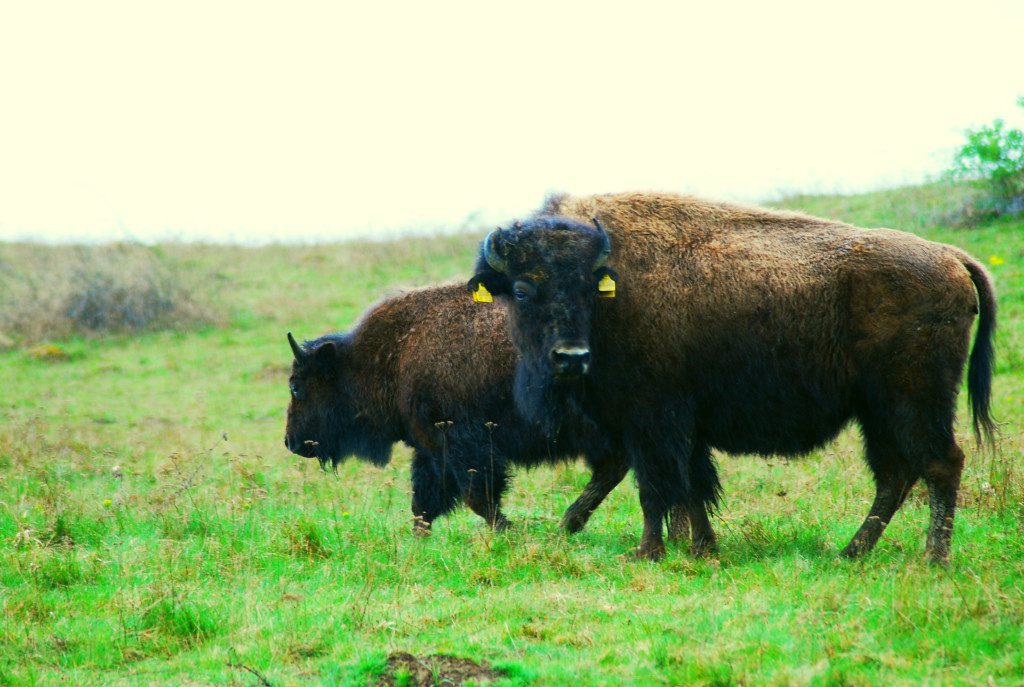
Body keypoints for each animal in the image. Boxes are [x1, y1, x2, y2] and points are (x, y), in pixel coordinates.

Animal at [282, 284, 696, 544]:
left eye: (297, 386)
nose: (290, 442)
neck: (391, 355)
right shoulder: (432, 451)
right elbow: (423, 504)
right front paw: (418, 542)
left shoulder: (466, 446)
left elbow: (478, 498)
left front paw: (510, 533)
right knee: (624, 469)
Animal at [468, 189, 995, 565]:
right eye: (521, 289)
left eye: (587, 287)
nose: (570, 357)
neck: (613, 284)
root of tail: (952, 257)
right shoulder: (682, 428)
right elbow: (691, 486)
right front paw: (703, 548)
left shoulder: (653, 421)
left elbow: (656, 487)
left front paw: (647, 553)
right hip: (877, 410)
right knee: (895, 474)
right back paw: (851, 553)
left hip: (914, 400)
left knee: (940, 464)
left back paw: (932, 559)